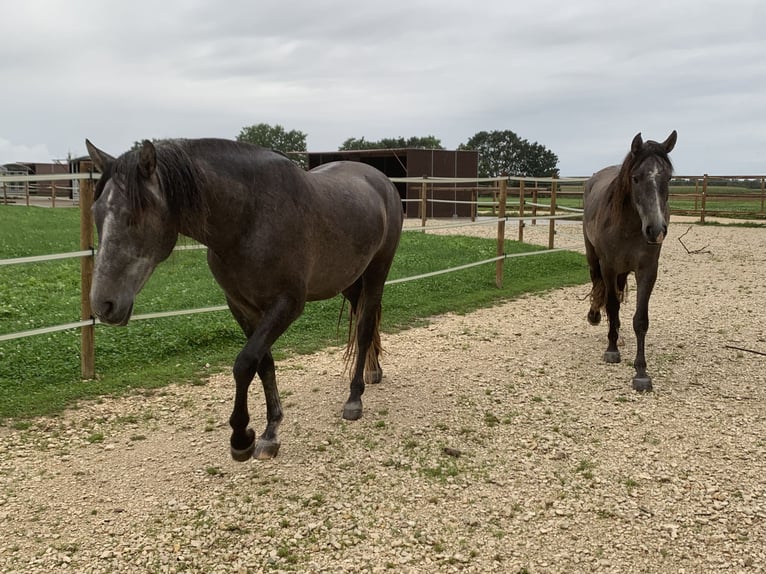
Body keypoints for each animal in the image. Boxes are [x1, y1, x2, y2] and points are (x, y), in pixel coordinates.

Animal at [86, 140, 404, 464]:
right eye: (96, 212)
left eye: (135, 215)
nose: (103, 305)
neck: (250, 218)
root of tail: (381, 180)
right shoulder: (241, 307)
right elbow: (264, 364)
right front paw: (270, 432)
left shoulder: (287, 305)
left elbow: (245, 363)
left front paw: (242, 438)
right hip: (349, 280)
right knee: (362, 318)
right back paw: (373, 371)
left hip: (377, 271)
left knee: (364, 328)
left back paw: (354, 398)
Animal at [588, 132, 680, 392]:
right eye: (636, 178)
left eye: (669, 178)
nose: (656, 230)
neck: (629, 226)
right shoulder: (608, 267)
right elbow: (611, 305)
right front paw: (611, 350)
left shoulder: (647, 271)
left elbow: (640, 320)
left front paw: (641, 372)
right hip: (594, 259)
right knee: (598, 287)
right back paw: (596, 318)